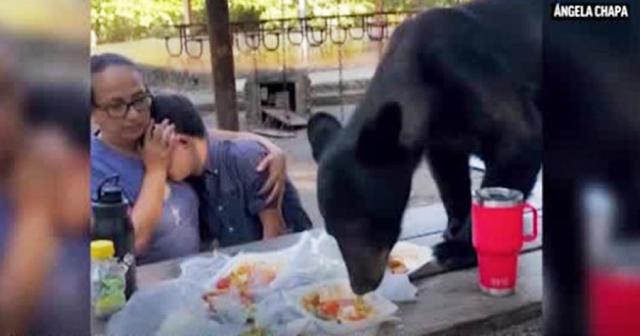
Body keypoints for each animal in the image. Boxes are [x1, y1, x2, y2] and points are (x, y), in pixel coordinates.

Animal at [308, 0, 544, 294]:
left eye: (365, 224)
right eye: (332, 231)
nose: (361, 286)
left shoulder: (472, 74)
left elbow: (520, 141)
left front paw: (457, 248)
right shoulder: (443, 136)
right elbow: (449, 174)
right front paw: (454, 225)